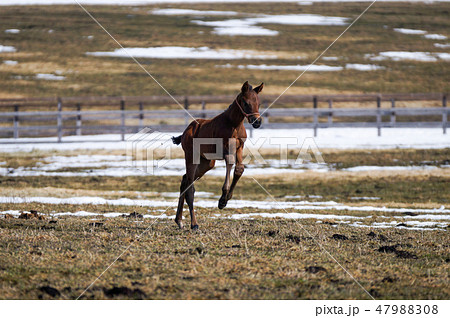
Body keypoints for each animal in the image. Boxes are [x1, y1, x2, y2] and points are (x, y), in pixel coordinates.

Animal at [172, 80, 264, 230]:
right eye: (245, 102)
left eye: (259, 103)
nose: (257, 121)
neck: (234, 124)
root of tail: (186, 131)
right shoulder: (227, 149)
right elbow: (230, 165)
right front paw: (221, 201)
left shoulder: (239, 147)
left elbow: (239, 169)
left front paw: (226, 199)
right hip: (192, 157)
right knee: (190, 188)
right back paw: (194, 224)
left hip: (206, 163)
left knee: (185, 180)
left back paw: (179, 221)